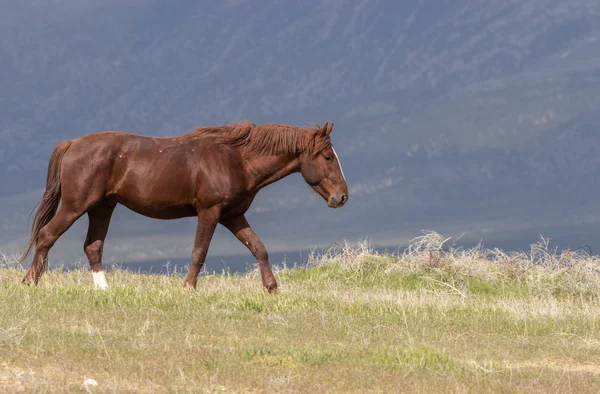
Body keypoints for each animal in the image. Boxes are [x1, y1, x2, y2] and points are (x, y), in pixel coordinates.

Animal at [18, 121, 350, 294]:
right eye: (327, 157)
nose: (342, 197)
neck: (236, 159)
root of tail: (73, 143)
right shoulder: (210, 212)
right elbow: (199, 252)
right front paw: (188, 288)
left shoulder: (233, 216)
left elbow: (259, 249)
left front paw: (272, 289)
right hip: (77, 205)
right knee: (47, 236)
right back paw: (30, 282)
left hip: (102, 207)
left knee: (93, 247)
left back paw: (104, 290)